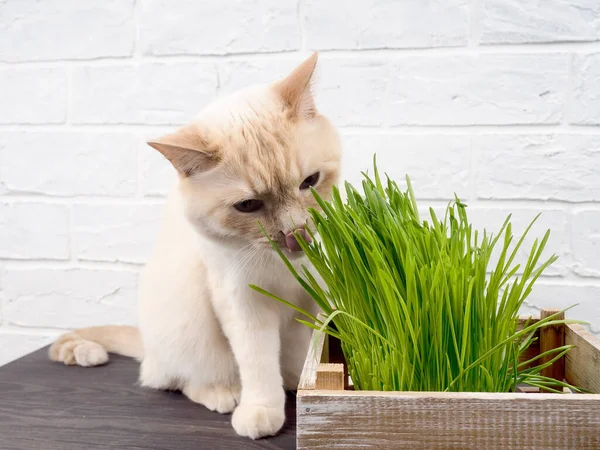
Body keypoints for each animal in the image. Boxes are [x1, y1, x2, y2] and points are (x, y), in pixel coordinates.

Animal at [47, 53, 342, 440]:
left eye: (310, 182)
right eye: (248, 206)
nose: (295, 234)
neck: (281, 267)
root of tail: (148, 347)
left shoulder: (312, 295)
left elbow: (304, 350)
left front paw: (300, 382)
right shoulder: (242, 303)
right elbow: (258, 362)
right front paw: (263, 409)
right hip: (188, 315)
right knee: (174, 380)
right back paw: (223, 394)